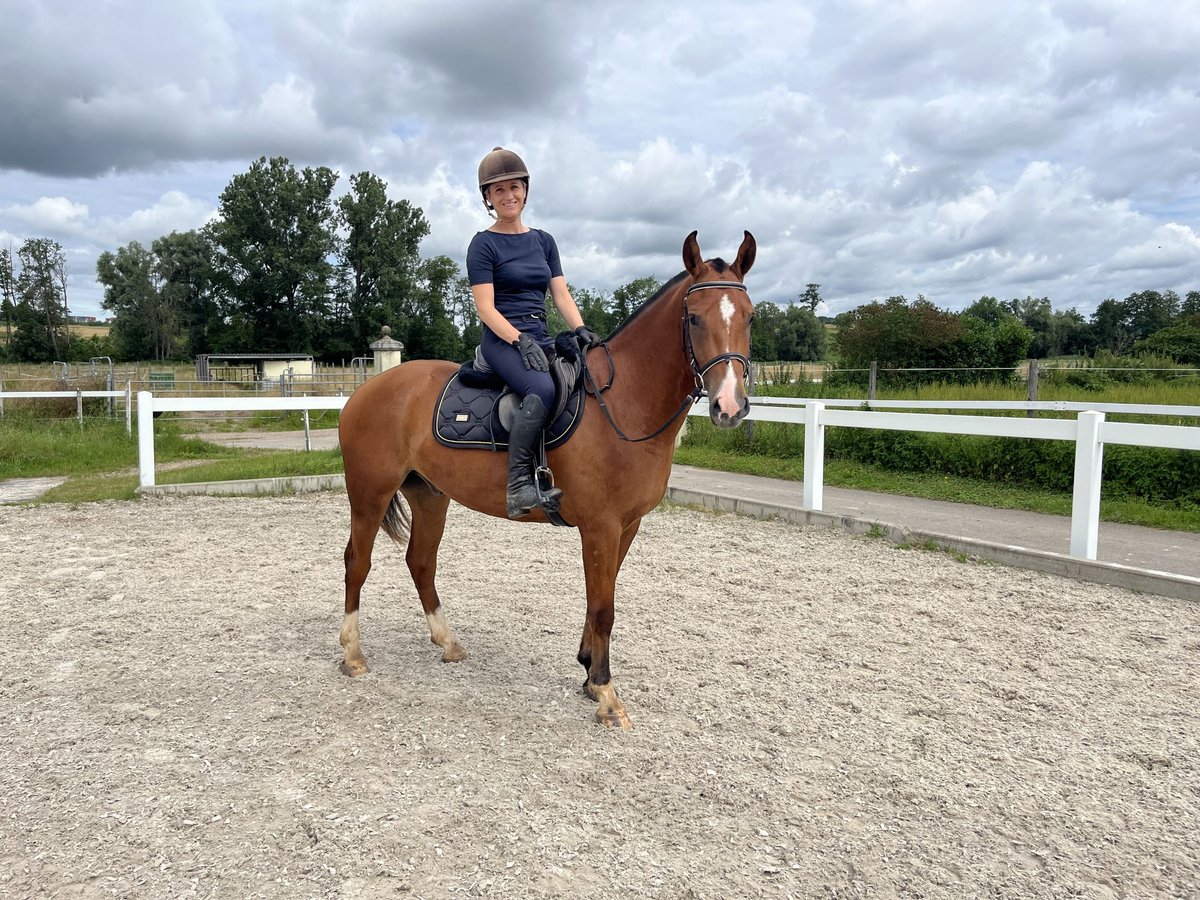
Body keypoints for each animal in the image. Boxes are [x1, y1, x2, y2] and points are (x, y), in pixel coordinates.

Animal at [333, 229, 753, 729]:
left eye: (750, 316)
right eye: (692, 318)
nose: (729, 406)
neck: (624, 403)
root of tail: (365, 390)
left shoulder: (626, 526)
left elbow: (598, 601)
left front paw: (589, 674)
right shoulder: (601, 526)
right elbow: (604, 607)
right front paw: (607, 693)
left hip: (430, 494)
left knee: (421, 562)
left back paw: (448, 643)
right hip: (370, 492)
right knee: (357, 562)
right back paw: (353, 654)